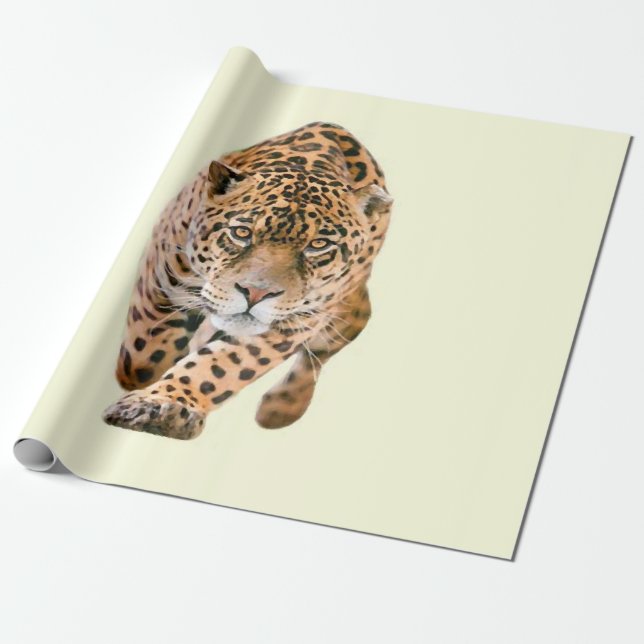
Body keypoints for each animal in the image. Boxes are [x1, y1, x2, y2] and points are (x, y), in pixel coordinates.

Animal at [102, 122, 393, 439]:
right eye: (241, 233)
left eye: (318, 245)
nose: (254, 293)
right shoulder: (161, 283)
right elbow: (142, 356)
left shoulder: (291, 324)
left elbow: (223, 366)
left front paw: (165, 405)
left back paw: (281, 407)